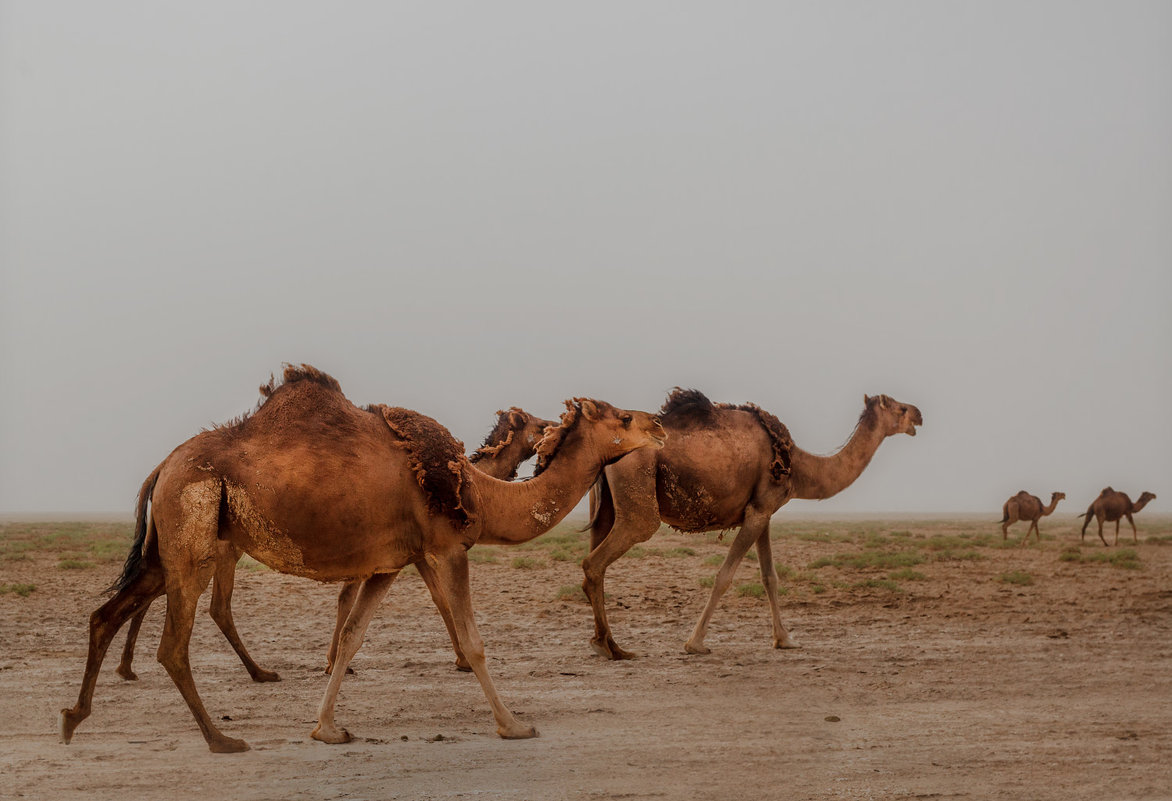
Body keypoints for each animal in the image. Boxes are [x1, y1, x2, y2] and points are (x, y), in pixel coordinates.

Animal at [110, 408, 553, 684]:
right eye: (536, 424)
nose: (553, 428)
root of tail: (160, 469)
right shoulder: (418, 548)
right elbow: (436, 599)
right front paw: (461, 659)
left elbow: (348, 597)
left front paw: (334, 661)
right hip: (213, 549)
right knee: (196, 602)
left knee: (168, 596)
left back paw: (130, 667)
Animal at [586, 391, 923, 661]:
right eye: (899, 408)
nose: (918, 414)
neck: (802, 467)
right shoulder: (760, 510)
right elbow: (724, 577)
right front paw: (695, 643)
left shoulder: (764, 513)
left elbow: (769, 576)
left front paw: (784, 639)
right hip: (638, 504)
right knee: (596, 561)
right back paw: (609, 646)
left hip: (605, 509)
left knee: (594, 561)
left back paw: (605, 643)